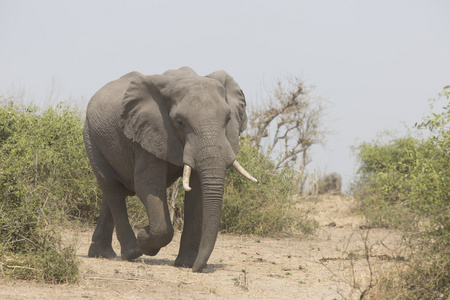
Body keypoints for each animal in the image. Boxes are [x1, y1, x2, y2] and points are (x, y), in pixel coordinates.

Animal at [82, 67, 255, 274]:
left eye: (228, 119)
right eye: (180, 122)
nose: (197, 268)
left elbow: (197, 193)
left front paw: (186, 263)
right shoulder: (149, 132)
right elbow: (147, 185)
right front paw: (144, 237)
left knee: (112, 193)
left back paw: (102, 254)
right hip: (91, 138)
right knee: (112, 188)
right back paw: (132, 251)